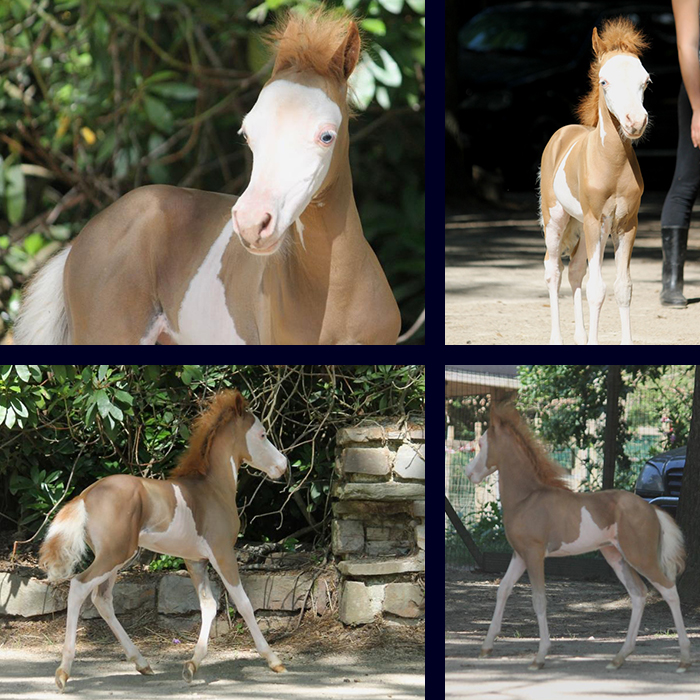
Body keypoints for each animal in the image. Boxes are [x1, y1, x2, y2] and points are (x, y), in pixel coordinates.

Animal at [39, 388, 288, 688]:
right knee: (78, 586)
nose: (283, 465)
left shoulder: (195, 561)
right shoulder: (222, 553)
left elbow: (208, 606)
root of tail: (84, 496)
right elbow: (244, 604)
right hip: (115, 555)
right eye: (262, 434)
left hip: (115, 558)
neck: (213, 489)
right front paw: (273, 660)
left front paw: (192, 666)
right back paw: (64, 671)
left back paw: (141, 663)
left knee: (102, 599)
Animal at [464, 404, 688, 672]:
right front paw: (486, 647)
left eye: (480, 442)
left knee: (669, 591)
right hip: (616, 556)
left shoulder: (534, 554)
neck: (527, 497)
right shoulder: (519, 554)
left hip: (640, 556)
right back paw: (619, 658)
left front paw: (540, 657)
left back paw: (685, 659)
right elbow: (503, 589)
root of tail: (651, 509)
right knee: (639, 594)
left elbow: (539, 600)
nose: (468, 473)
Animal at [540, 21, 652, 348]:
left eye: (646, 81)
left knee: (575, 271)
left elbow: (622, 287)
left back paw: (578, 336)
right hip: (557, 219)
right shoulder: (595, 221)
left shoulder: (626, 224)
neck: (611, 163)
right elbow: (597, 288)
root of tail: (561, 134)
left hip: (580, 224)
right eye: (604, 81)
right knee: (554, 270)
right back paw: (557, 338)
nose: (635, 121)